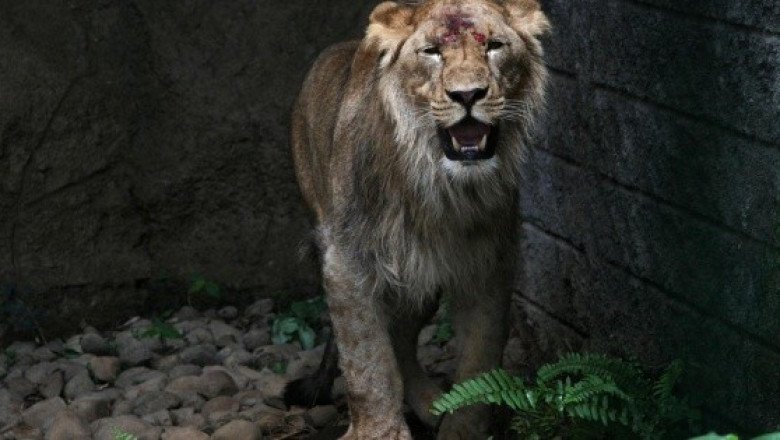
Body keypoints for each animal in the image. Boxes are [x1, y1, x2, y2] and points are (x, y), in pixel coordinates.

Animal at [289, 0, 549, 438]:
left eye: (494, 46)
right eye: (431, 52)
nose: (468, 95)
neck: (440, 190)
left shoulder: (488, 264)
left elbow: (479, 361)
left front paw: (463, 428)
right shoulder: (347, 262)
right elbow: (367, 361)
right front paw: (379, 431)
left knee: (401, 337)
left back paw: (433, 406)